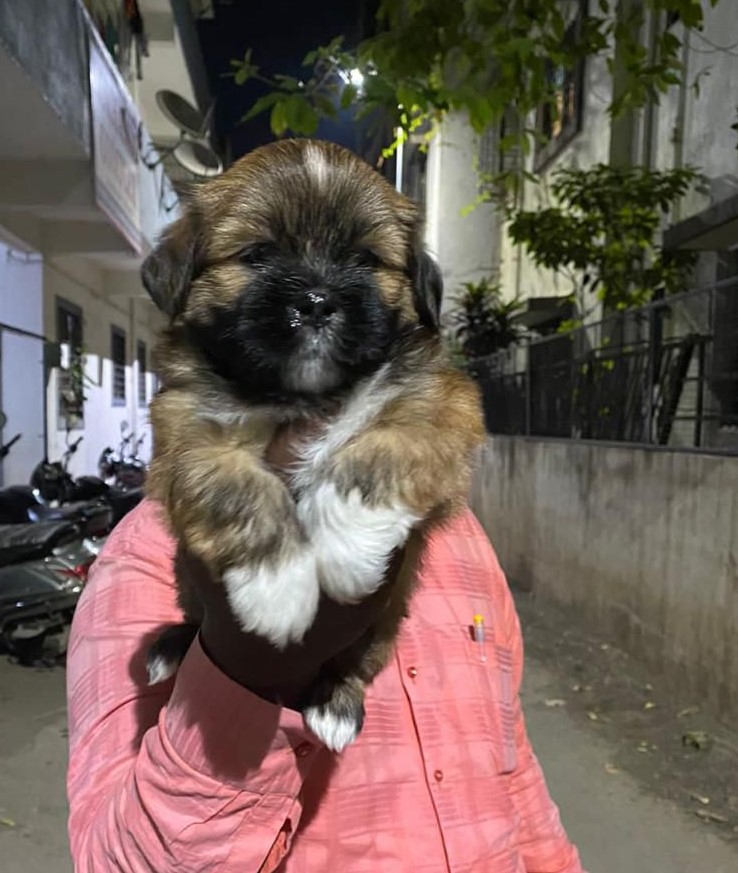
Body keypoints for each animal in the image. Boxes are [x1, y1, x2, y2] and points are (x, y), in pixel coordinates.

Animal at [139, 138, 484, 748]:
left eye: (365, 260)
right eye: (258, 255)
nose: (318, 300)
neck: (303, 394)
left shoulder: (439, 402)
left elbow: (375, 455)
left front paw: (347, 549)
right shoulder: (186, 430)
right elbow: (237, 490)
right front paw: (277, 587)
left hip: (384, 625)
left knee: (357, 662)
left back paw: (334, 704)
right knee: (198, 621)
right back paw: (173, 645)